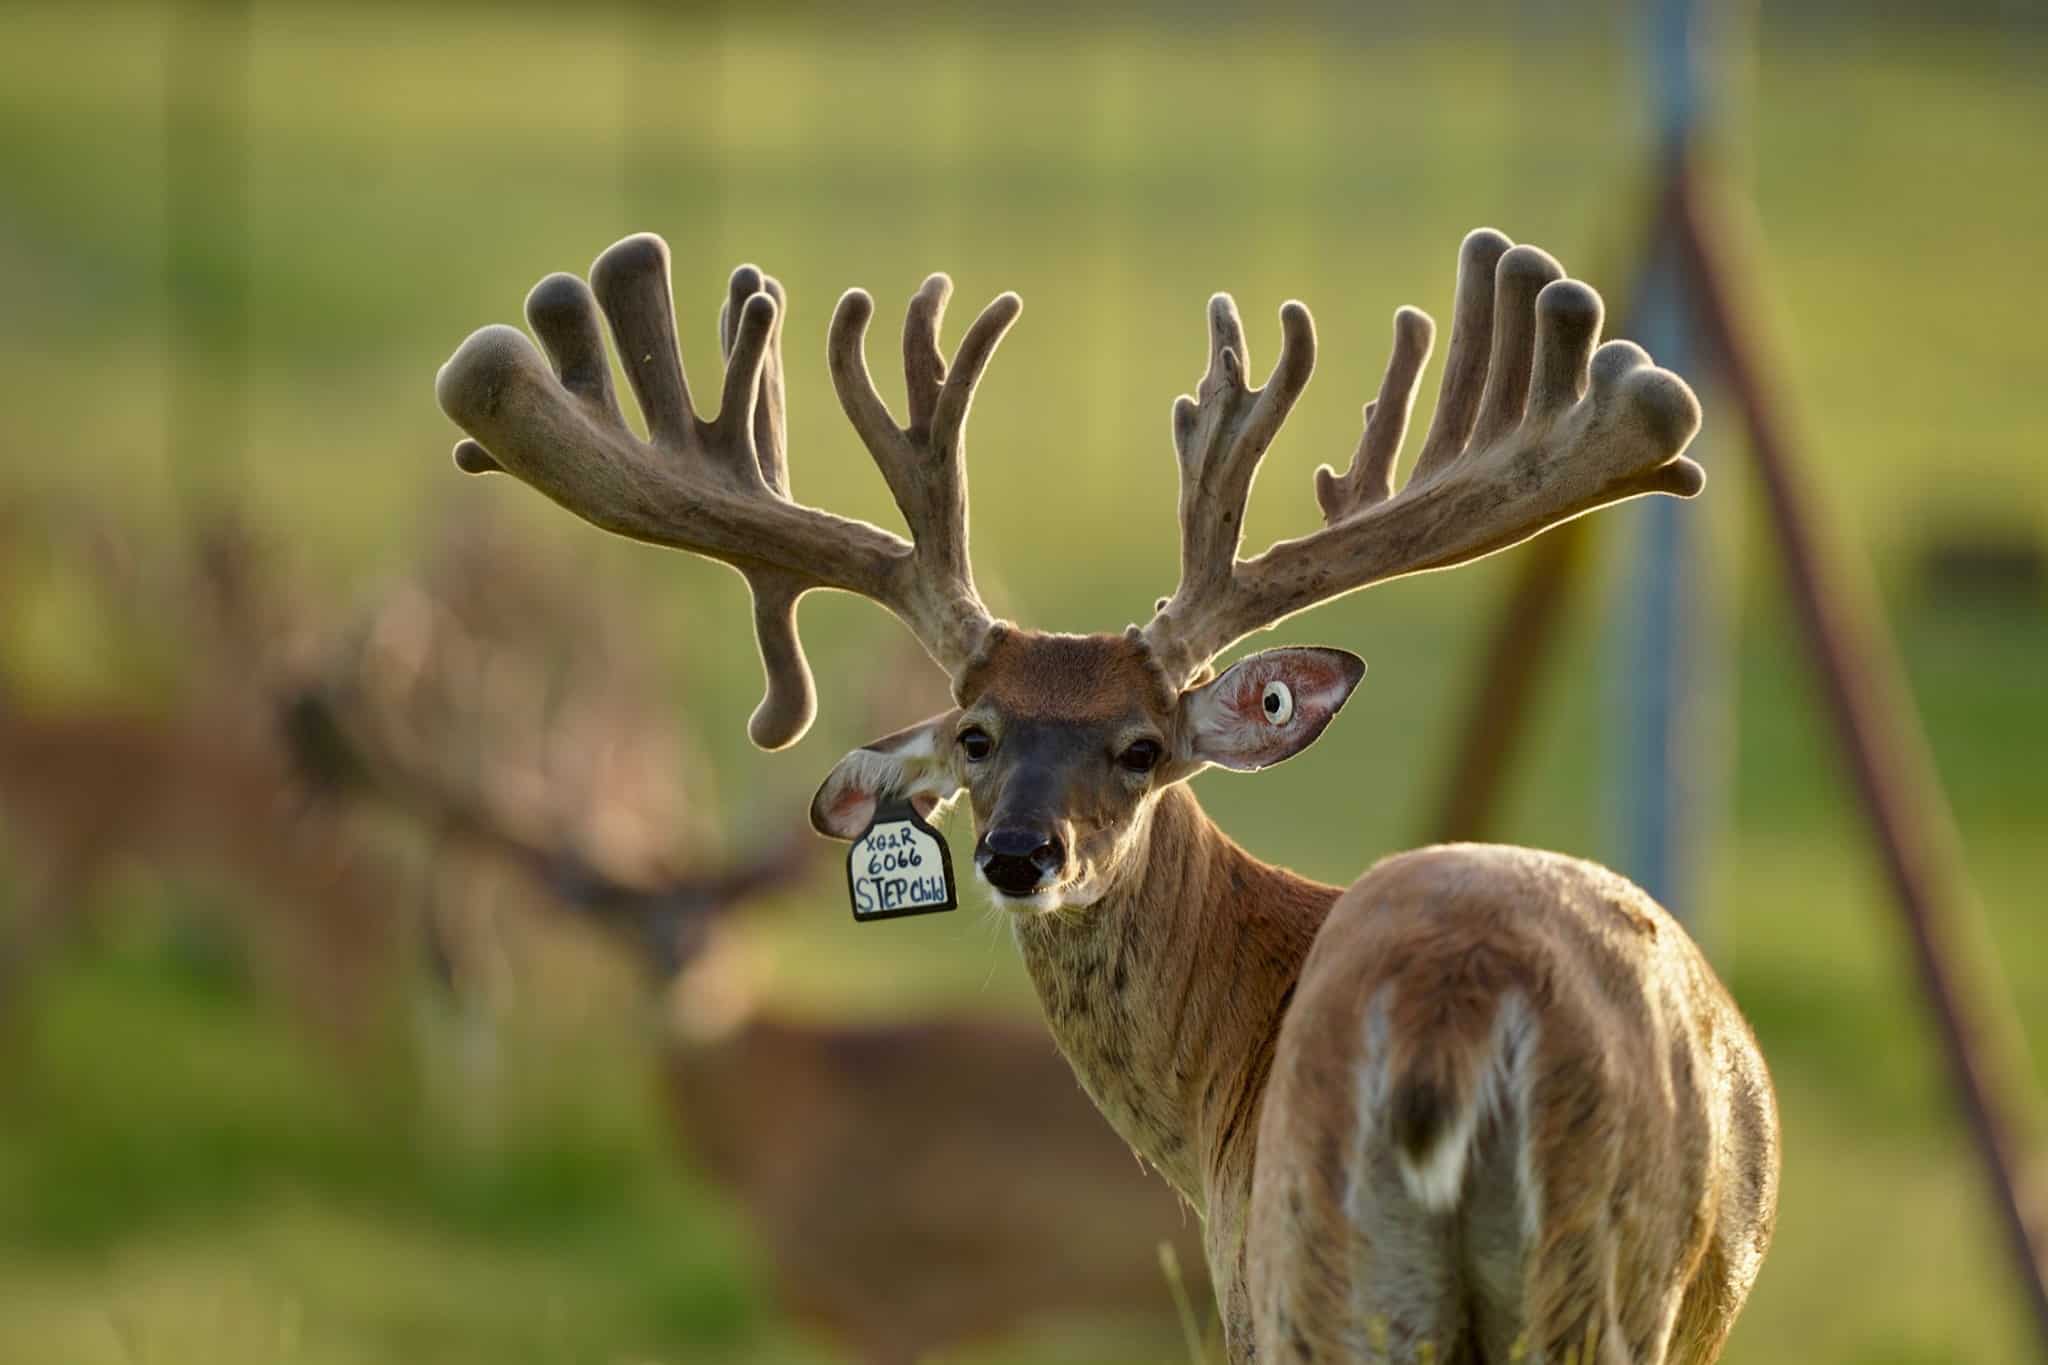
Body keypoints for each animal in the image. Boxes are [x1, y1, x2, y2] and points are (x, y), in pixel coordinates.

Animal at [434, 227, 1780, 1364]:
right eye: (976, 737)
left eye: (1140, 748)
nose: (1017, 855)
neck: (1204, 1100)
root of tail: (1458, 1008)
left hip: (1325, 1273)